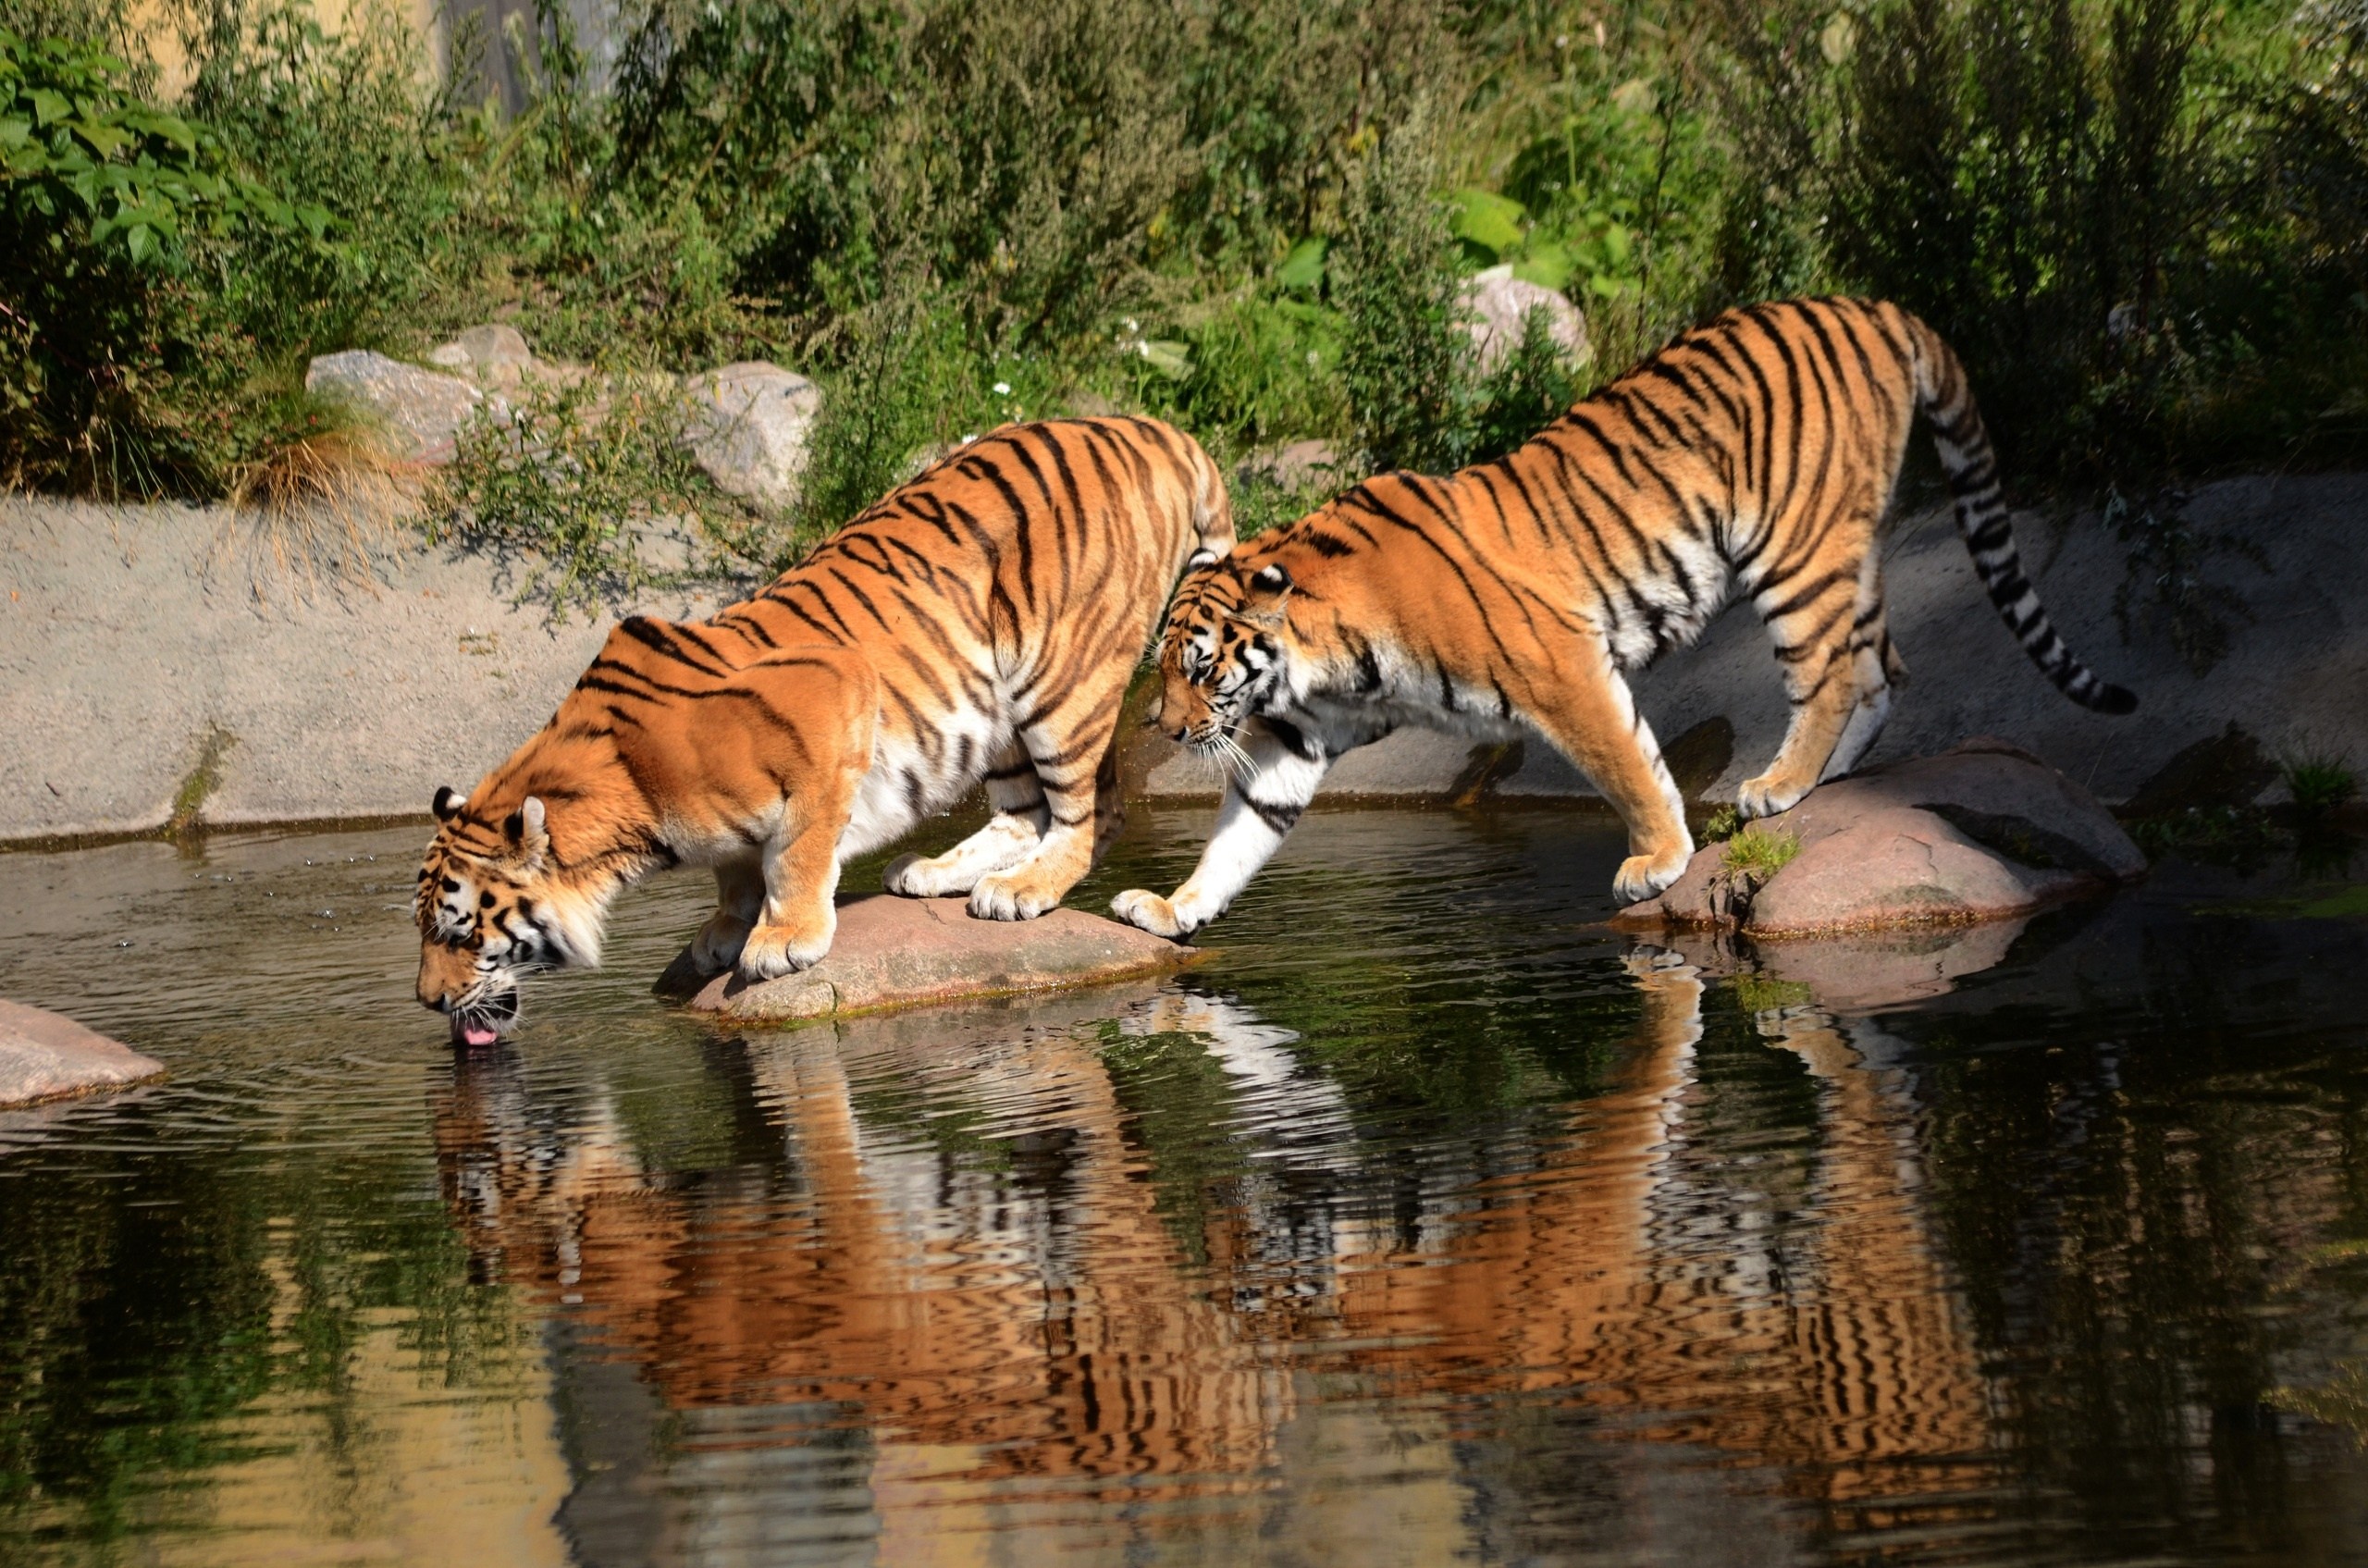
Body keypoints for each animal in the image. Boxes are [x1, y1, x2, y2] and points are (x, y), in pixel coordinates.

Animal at [414, 416, 1231, 1042]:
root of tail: (1155, 428)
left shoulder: (833, 693)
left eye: (462, 931)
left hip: (1060, 676)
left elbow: (797, 851)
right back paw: (938, 872)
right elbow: (737, 865)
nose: (426, 1000)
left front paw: (781, 940)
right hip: (998, 704)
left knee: (1094, 808)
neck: (630, 805)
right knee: (1024, 810)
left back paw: (1022, 888)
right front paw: (723, 929)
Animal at [1117, 296, 2140, 937]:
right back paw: (1829, 779)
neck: (1317, 659)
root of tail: (1873, 308)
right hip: (1846, 549)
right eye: (1162, 667)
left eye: (1198, 666)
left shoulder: (1560, 666)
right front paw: (1172, 910)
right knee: (1882, 666)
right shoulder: (1298, 742)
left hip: (1794, 552)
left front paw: (1654, 861)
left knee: (1831, 672)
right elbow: (1239, 835)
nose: (1162, 729)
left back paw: (1777, 786)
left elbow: (1626, 764)